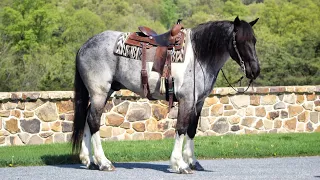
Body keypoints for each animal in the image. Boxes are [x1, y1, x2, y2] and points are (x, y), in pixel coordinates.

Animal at [71, 16, 258, 174]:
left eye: (254, 40)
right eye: (240, 41)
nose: (255, 71)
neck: (199, 56)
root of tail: (84, 46)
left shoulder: (198, 102)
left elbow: (192, 130)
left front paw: (192, 161)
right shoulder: (186, 100)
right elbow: (181, 128)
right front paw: (180, 164)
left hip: (104, 92)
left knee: (88, 119)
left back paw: (89, 161)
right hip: (99, 92)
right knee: (94, 121)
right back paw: (103, 162)